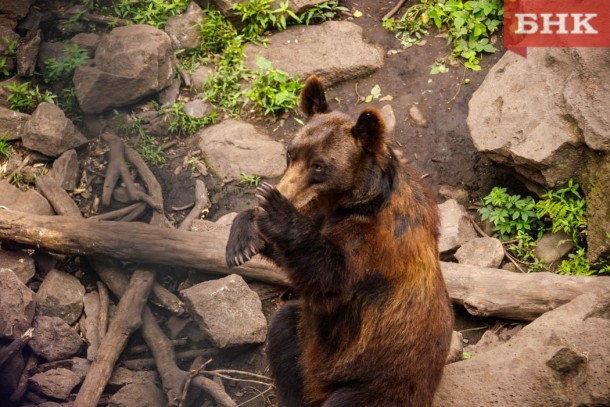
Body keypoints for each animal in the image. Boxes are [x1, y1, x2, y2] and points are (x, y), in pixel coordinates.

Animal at [224, 75, 452, 406]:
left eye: (319, 165)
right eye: (291, 153)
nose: (282, 191)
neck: (349, 202)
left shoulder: (376, 241)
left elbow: (331, 273)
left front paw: (275, 210)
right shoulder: (323, 214)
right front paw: (244, 238)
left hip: (378, 379)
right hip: (308, 340)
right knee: (283, 332)